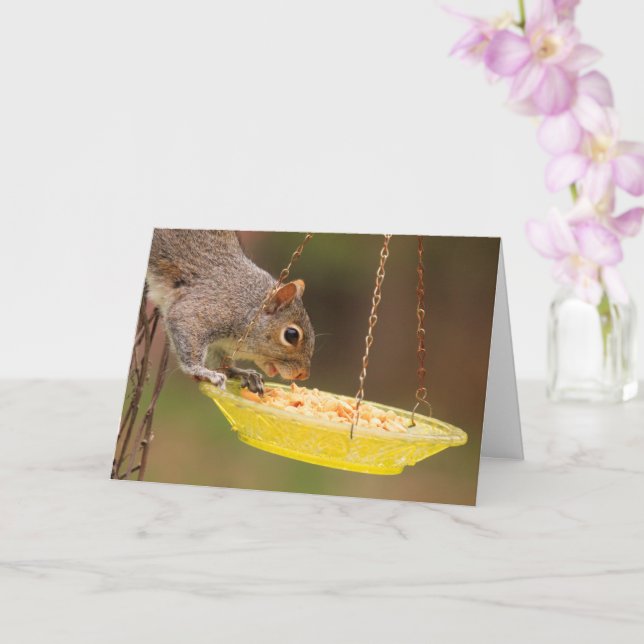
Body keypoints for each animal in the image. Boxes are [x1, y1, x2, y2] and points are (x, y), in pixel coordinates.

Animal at [146, 229, 314, 394]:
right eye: (291, 335)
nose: (303, 375)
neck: (247, 304)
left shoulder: (219, 343)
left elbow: (220, 358)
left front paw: (240, 372)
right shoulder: (204, 309)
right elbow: (184, 322)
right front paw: (201, 371)